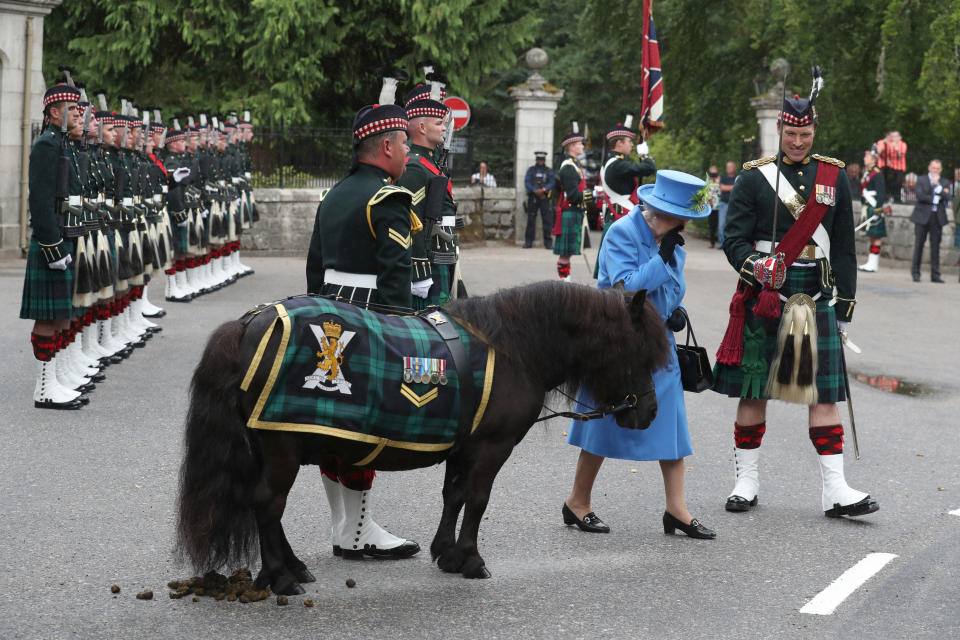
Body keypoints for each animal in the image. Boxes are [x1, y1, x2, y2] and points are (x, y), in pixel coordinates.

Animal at [174, 280, 668, 596]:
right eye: (640, 351)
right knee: (267, 503)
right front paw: (471, 559)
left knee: (266, 505)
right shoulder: (491, 448)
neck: (512, 347)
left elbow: (454, 496)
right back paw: (280, 576)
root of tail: (250, 323)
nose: (650, 412)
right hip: (281, 448)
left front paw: (446, 554)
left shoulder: (464, 448)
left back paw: (293, 567)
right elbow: (478, 499)